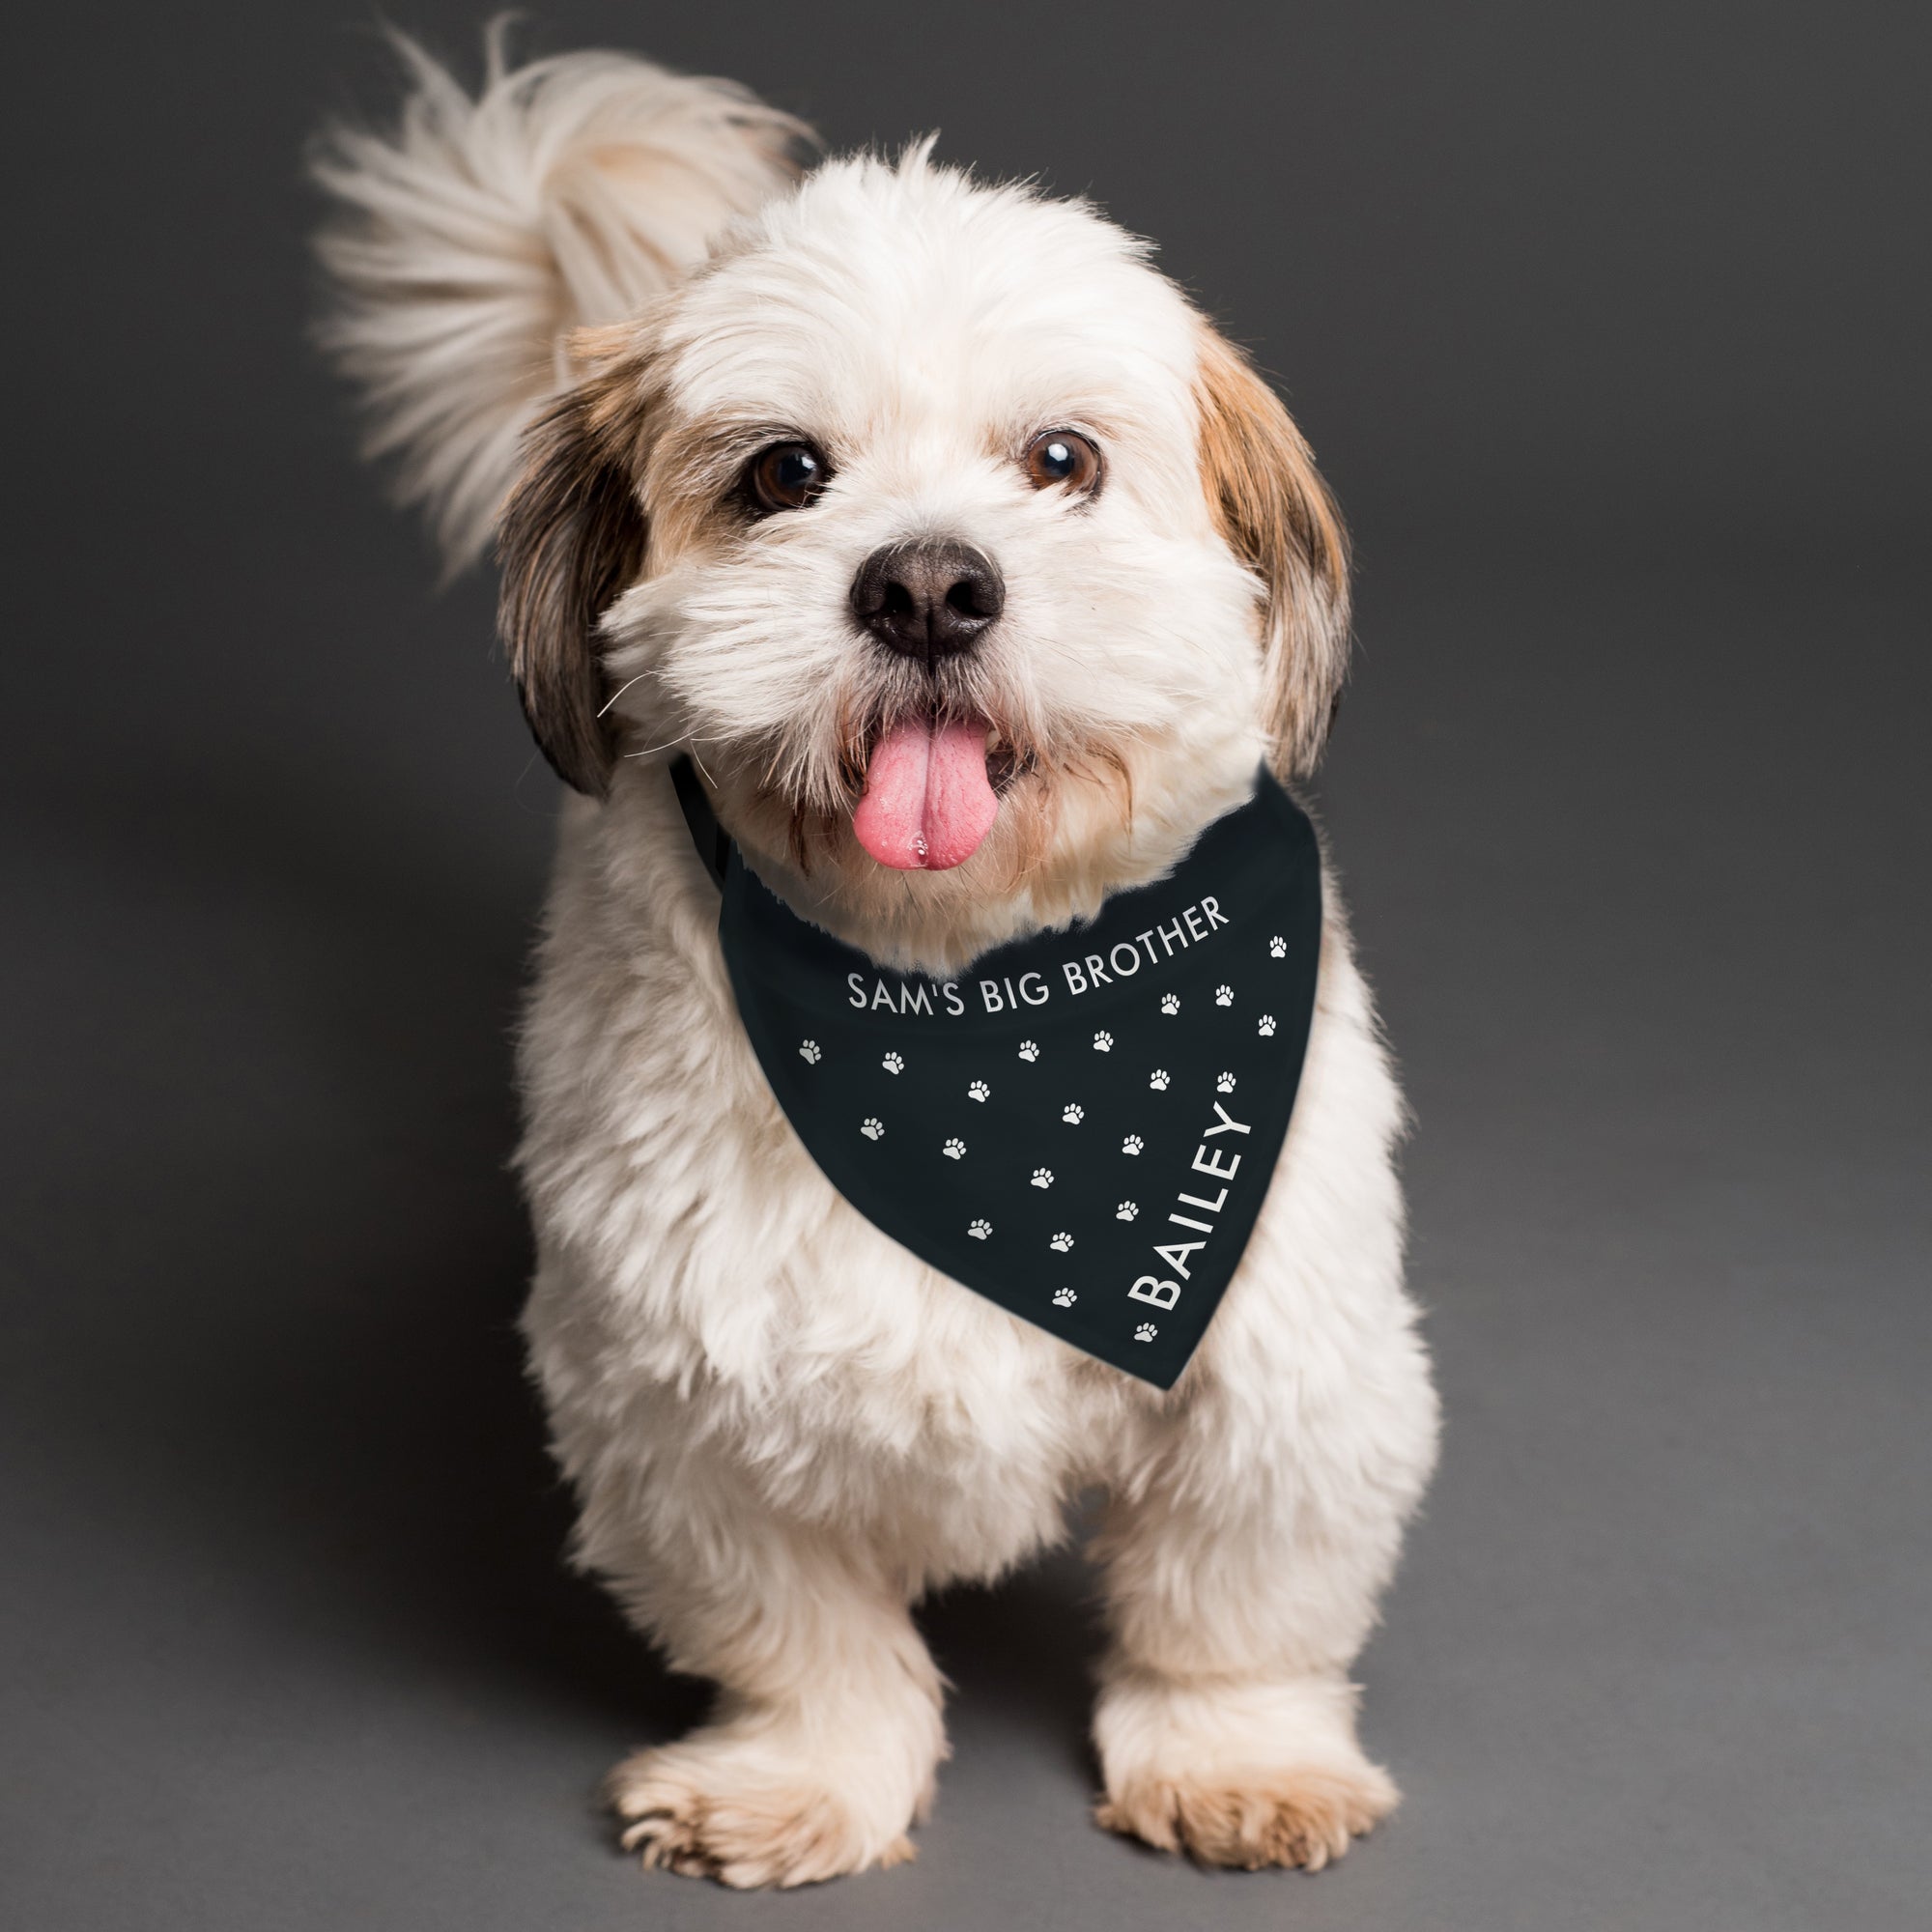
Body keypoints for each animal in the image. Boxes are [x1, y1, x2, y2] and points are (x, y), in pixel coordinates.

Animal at [313, 34, 1437, 1886]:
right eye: (784, 474)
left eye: (1060, 459)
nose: (926, 583)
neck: (965, 994)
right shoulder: (676, 1399)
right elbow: (803, 1632)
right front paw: (801, 1776)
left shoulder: (1280, 1364)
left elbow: (1232, 1603)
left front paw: (1239, 1755)